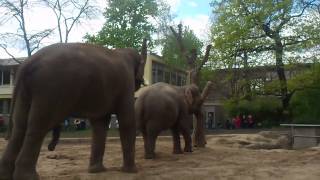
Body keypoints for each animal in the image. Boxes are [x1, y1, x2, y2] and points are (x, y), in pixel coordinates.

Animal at [0, 40, 147, 180]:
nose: (51, 148)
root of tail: (27, 63)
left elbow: (100, 124)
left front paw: (96, 171)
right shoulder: (126, 84)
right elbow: (127, 121)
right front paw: (132, 171)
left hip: (26, 92)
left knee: (20, 127)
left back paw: (7, 175)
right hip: (49, 89)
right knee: (38, 127)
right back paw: (29, 177)